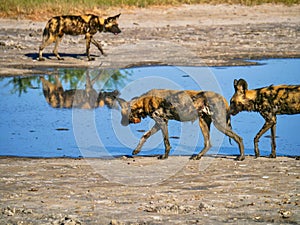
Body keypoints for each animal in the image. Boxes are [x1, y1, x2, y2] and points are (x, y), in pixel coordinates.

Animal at [116, 89, 245, 161]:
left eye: (122, 114)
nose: (121, 123)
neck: (143, 102)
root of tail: (222, 98)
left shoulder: (162, 123)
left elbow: (166, 142)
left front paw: (164, 156)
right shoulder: (159, 123)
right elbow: (144, 136)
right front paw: (136, 150)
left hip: (220, 125)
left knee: (239, 138)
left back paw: (241, 157)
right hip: (203, 123)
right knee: (208, 143)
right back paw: (198, 156)